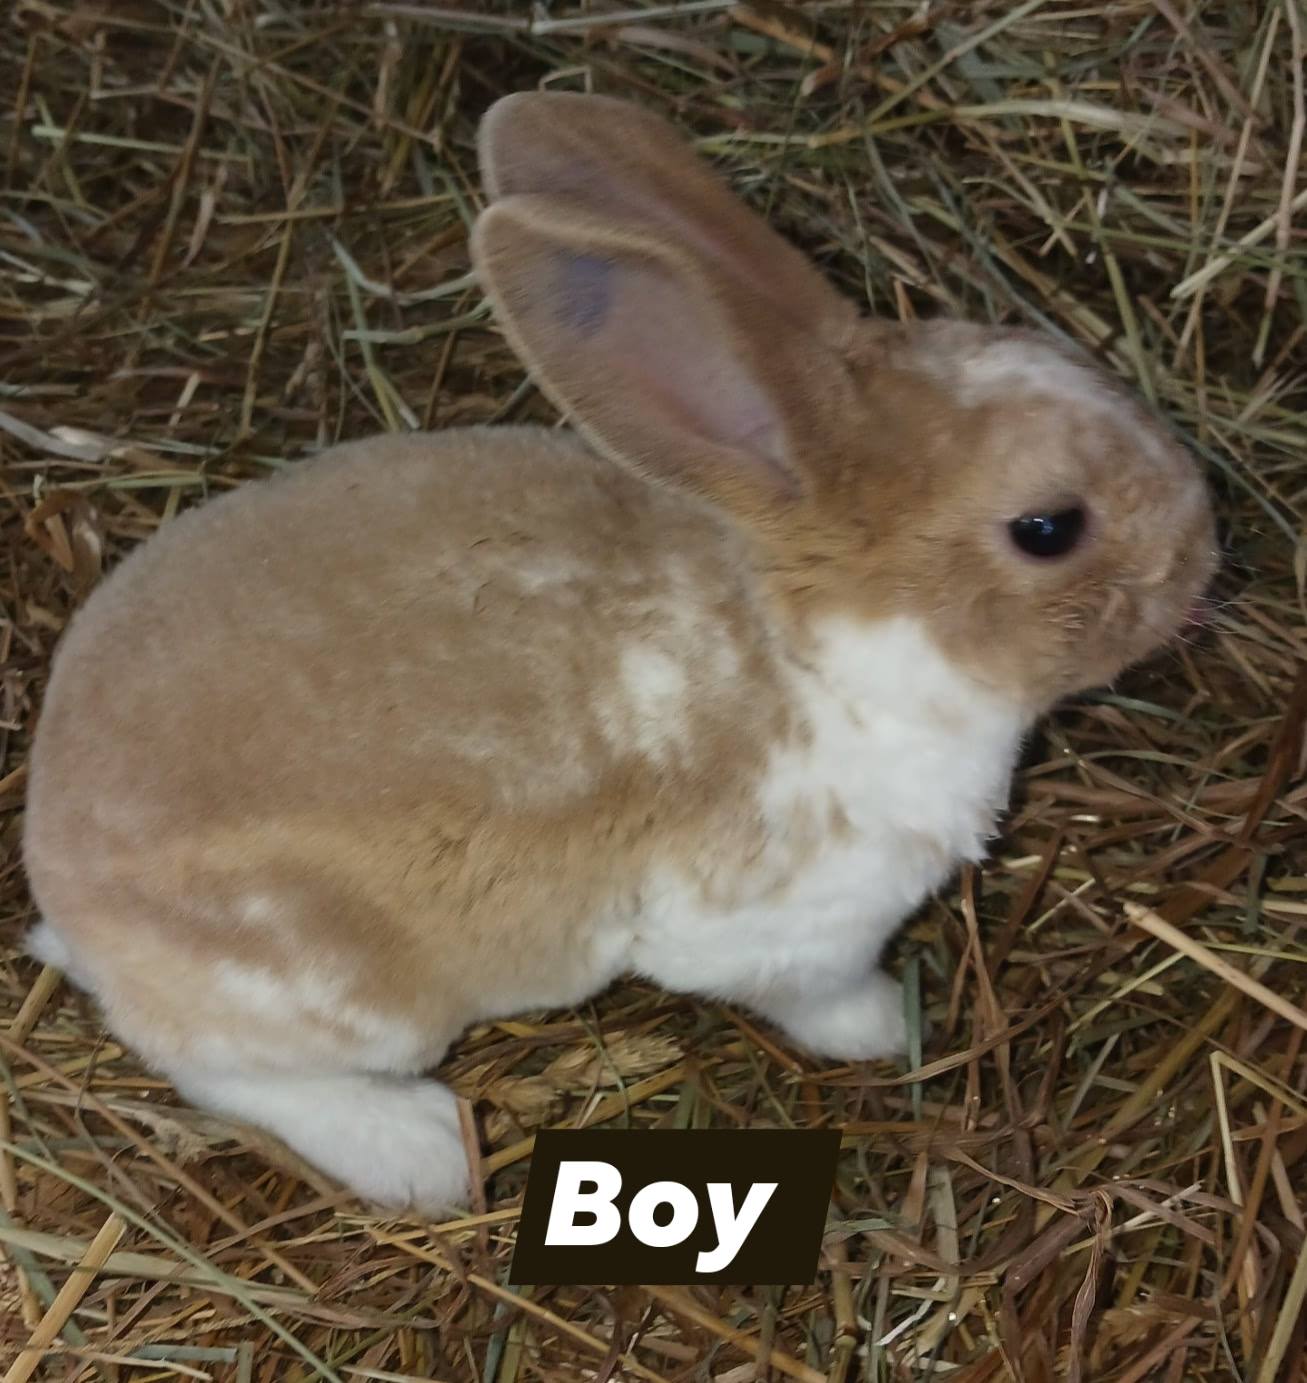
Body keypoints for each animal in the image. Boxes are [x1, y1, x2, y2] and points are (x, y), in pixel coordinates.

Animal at [22, 91, 1216, 1215]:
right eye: (1048, 529)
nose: (1204, 553)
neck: (819, 652)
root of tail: (59, 874)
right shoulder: (785, 932)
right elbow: (818, 997)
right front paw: (889, 1026)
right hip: (340, 994)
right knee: (232, 1074)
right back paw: (421, 1147)